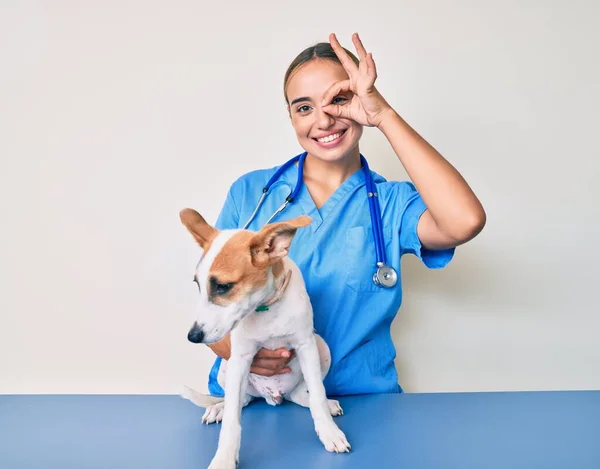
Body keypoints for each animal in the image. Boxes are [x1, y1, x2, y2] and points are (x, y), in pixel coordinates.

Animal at [177, 209, 352, 468]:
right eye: (198, 285)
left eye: (223, 287)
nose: (193, 336)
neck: (266, 307)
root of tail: (273, 397)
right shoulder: (241, 356)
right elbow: (232, 421)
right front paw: (224, 457)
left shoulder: (305, 345)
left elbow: (318, 396)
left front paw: (329, 432)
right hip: (228, 367)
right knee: (240, 400)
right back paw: (220, 408)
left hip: (322, 347)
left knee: (303, 394)